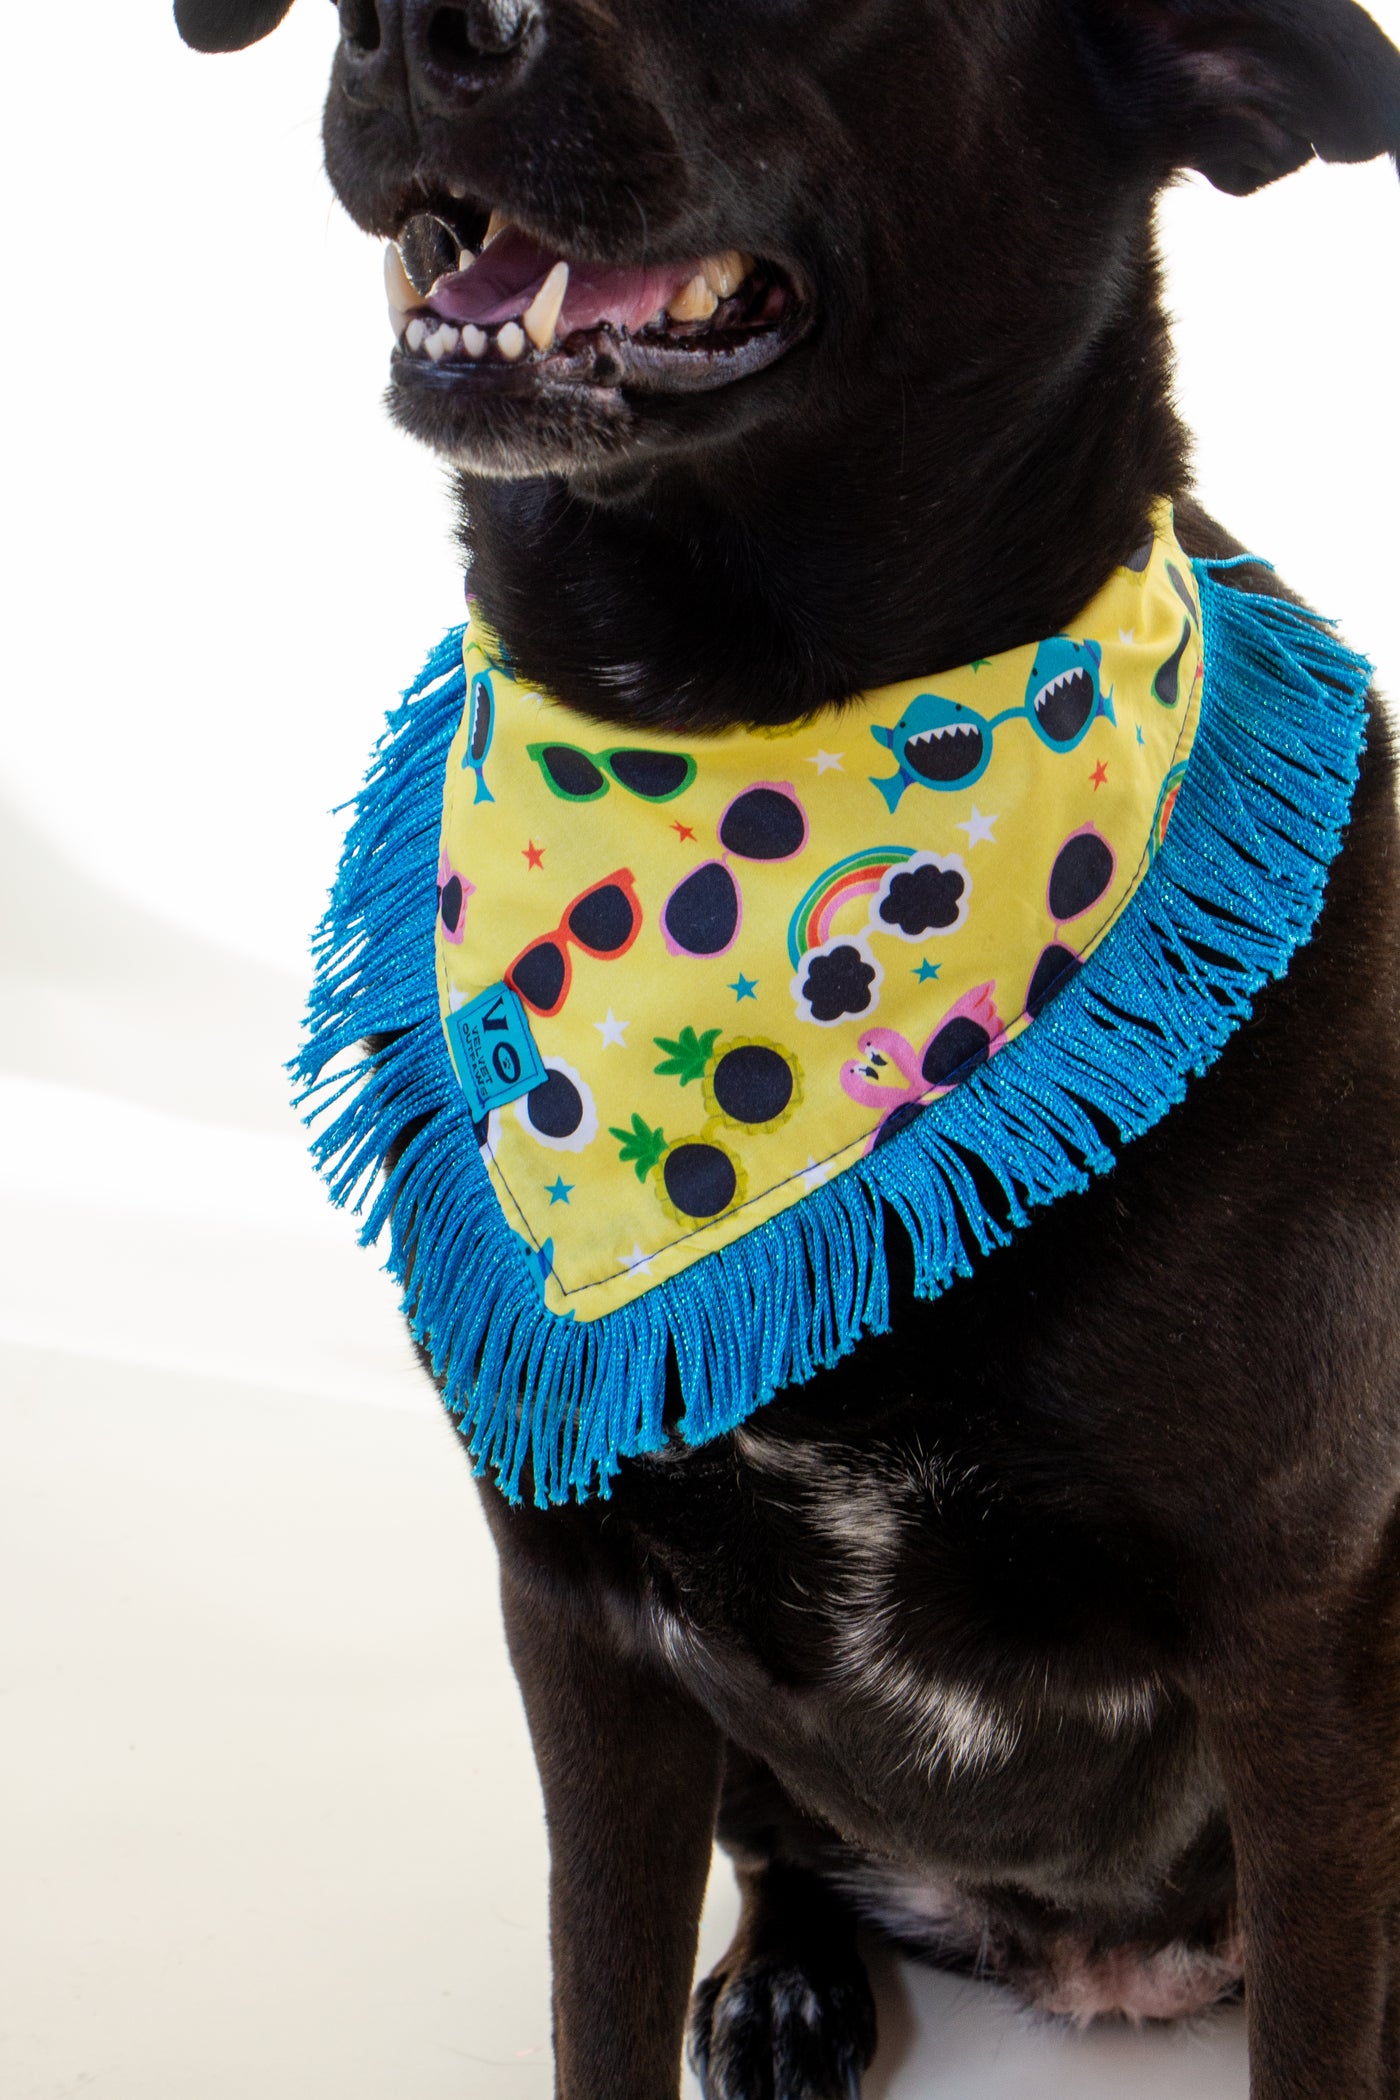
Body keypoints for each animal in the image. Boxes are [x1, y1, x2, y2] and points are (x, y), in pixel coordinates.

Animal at [175, 0, 1400, 2091]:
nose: (418, 33)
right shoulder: (579, 1609)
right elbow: (594, 2000)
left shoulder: (1303, 1637)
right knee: (781, 1858)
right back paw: (784, 1987)